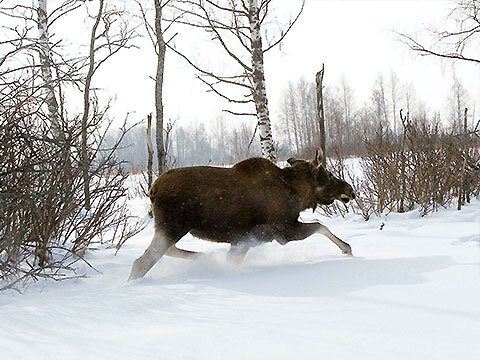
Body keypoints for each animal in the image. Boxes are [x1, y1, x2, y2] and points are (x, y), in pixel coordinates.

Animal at [129, 149, 354, 282]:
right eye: (329, 174)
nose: (350, 190)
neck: (298, 193)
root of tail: (153, 190)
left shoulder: (242, 240)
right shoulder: (283, 230)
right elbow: (320, 225)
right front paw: (347, 248)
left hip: (170, 228)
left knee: (167, 251)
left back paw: (206, 259)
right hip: (172, 227)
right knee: (142, 262)